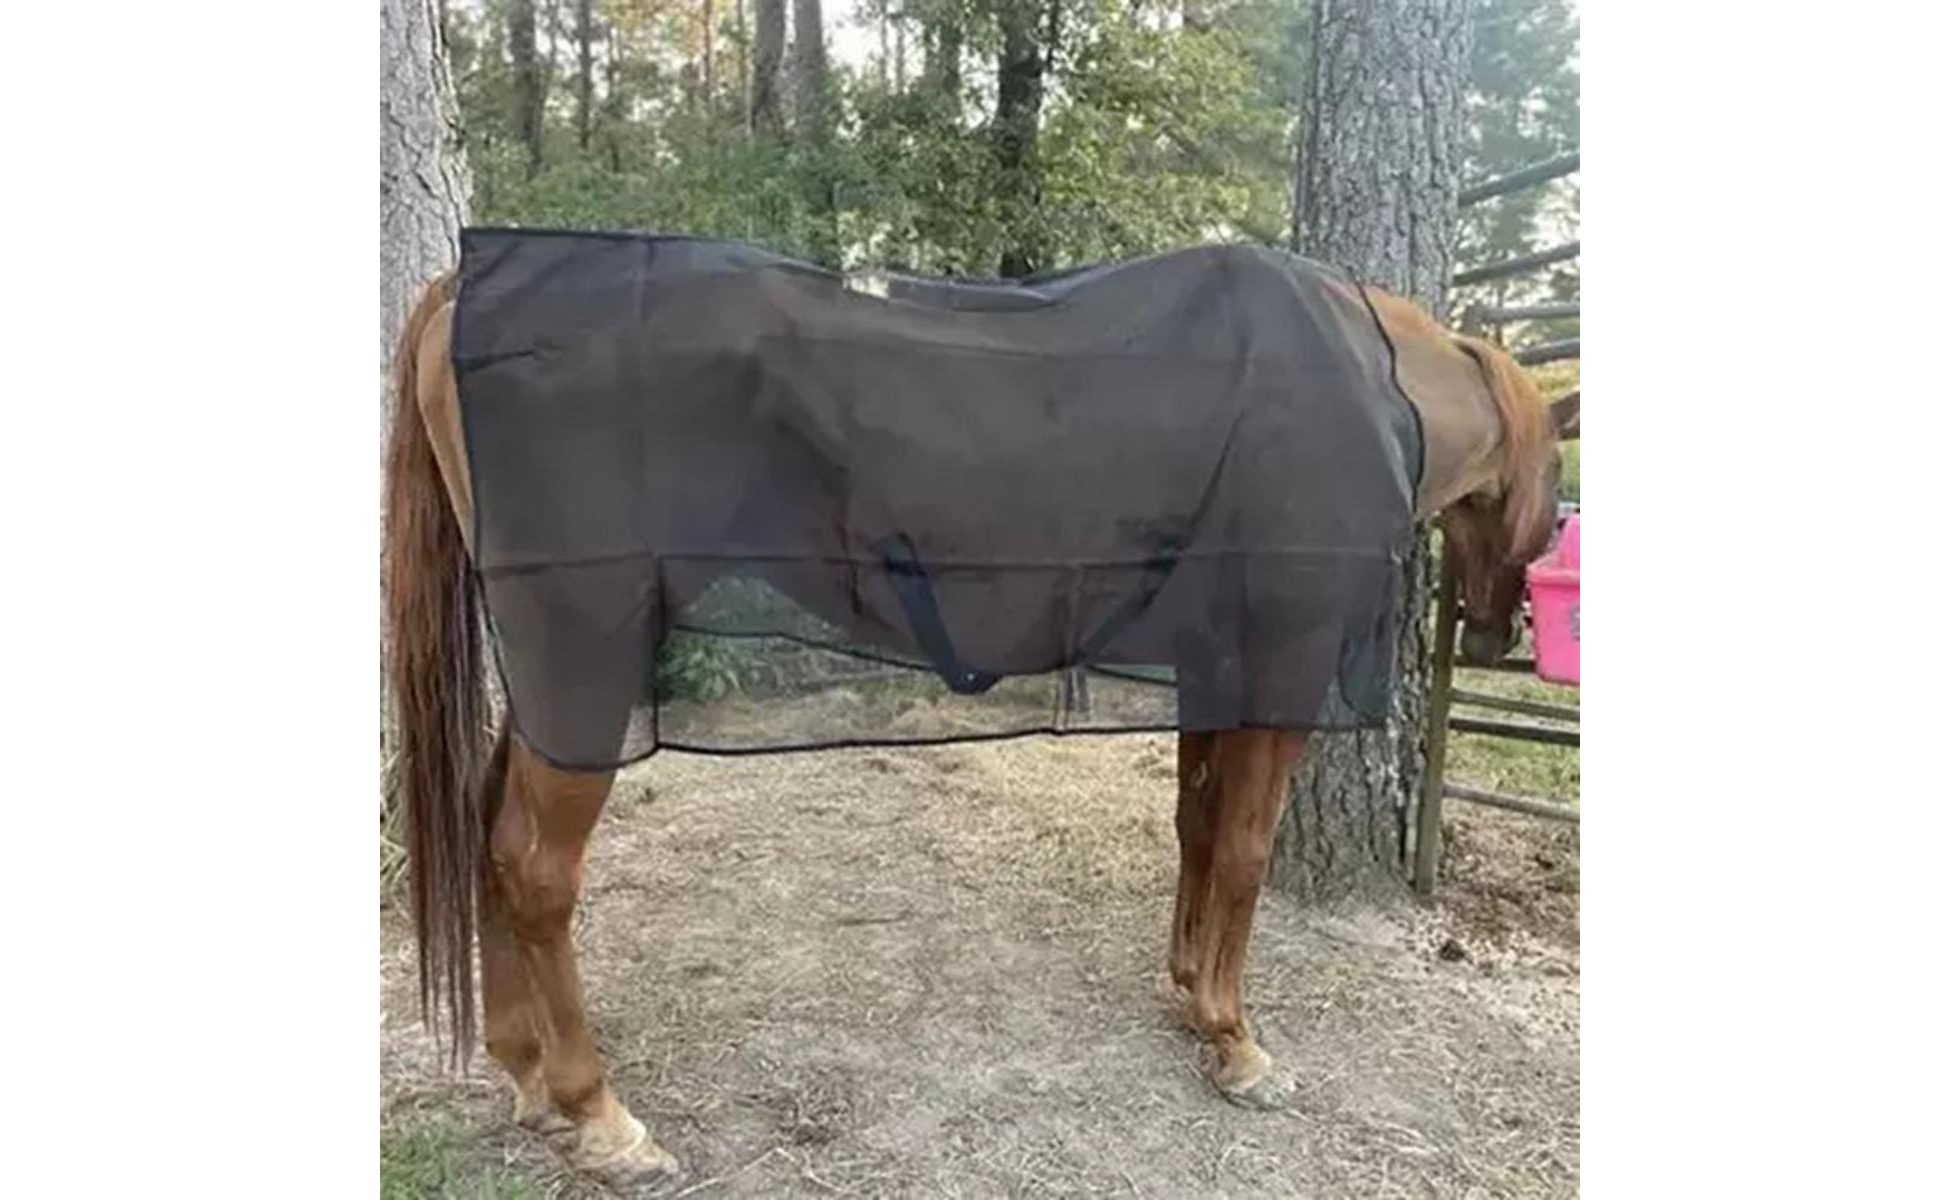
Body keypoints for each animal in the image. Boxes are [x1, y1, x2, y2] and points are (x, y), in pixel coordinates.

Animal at [382, 259, 1568, 1188]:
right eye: (1556, 486)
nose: (1496, 633)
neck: (1358, 389)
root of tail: (470, 288)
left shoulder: (1208, 661)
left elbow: (1194, 833)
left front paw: (1190, 994)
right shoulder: (1273, 662)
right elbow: (1240, 850)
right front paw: (1237, 1046)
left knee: (489, 834)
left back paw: (525, 1075)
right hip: (584, 649)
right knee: (534, 866)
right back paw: (601, 1116)